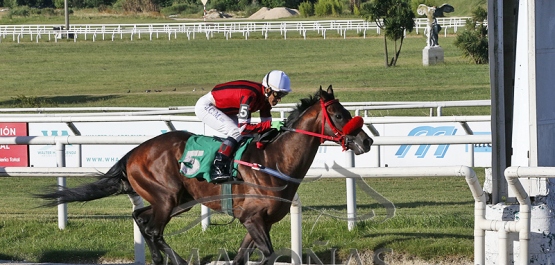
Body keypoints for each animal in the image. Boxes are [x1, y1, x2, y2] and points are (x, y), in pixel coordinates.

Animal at [38, 85, 374, 262]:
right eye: (339, 114)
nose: (367, 141)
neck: (274, 160)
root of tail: (133, 153)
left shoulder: (256, 221)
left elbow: (242, 257)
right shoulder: (252, 219)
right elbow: (268, 254)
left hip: (177, 200)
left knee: (141, 218)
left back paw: (159, 257)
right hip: (167, 197)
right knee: (153, 230)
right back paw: (174, 259)